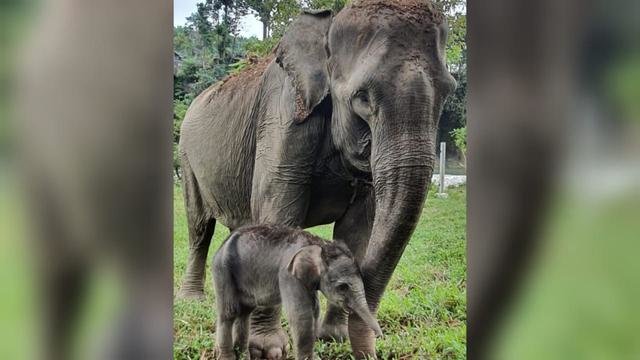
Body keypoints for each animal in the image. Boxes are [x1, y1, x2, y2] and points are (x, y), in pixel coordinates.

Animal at [212, 225, 382, 360]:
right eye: (343, 287)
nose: (380, 336)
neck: (320, 244)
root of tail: (224, 243)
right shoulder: (288, 275)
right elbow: (301, 315)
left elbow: (314, 312)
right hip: (223, 270)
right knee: (230, 312)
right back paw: (227, 357)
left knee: (244, 312)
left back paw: (242, 355)